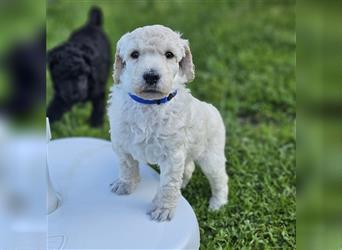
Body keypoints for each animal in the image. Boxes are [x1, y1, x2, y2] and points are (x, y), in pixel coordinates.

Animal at [108, 24, 228, 221]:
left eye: (169, 54)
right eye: (134, 54)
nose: (151, 76)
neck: (148, 103)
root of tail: (212, 108)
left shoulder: (172, 154)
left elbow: (168, 185)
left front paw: (162, 209)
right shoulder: (122, 143)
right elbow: (127, 166)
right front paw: (125, 185)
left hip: (212, 155)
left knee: (220, 178)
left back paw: (218, 203)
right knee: (189, 167)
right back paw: (184, 185)